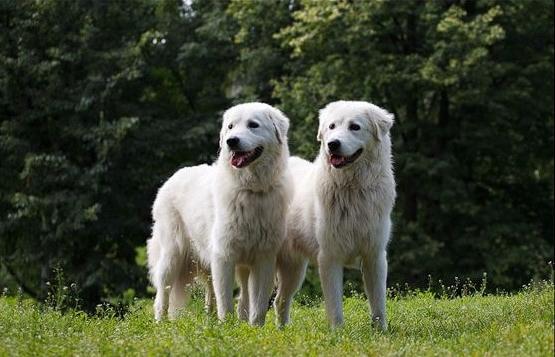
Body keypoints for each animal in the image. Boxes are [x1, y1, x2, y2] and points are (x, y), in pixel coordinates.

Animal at [146, 101, 294, 324]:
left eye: (253, 125)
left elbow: (258, 304)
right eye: (231, 126)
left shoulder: (264, 258)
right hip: (174, 254)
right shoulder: (224, 256)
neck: (250, 190)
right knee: (163, 293)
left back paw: (210, 320)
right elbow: (226, 302)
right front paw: (228, 327)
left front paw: (254, 329)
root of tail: (172, 178)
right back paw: (161, 323)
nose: (231, 141)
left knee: (215, 293)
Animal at [274, 99, 396, 328]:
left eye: (354, 127)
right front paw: (338, 332)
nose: (333, 144)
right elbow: (335, 305)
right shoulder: (330, 257)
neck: (353, 190)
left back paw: (282, 329)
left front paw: (381, 330)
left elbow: (378, 303)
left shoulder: (374, 255)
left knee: (280, 300)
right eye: (331, 127)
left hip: (294, 268)